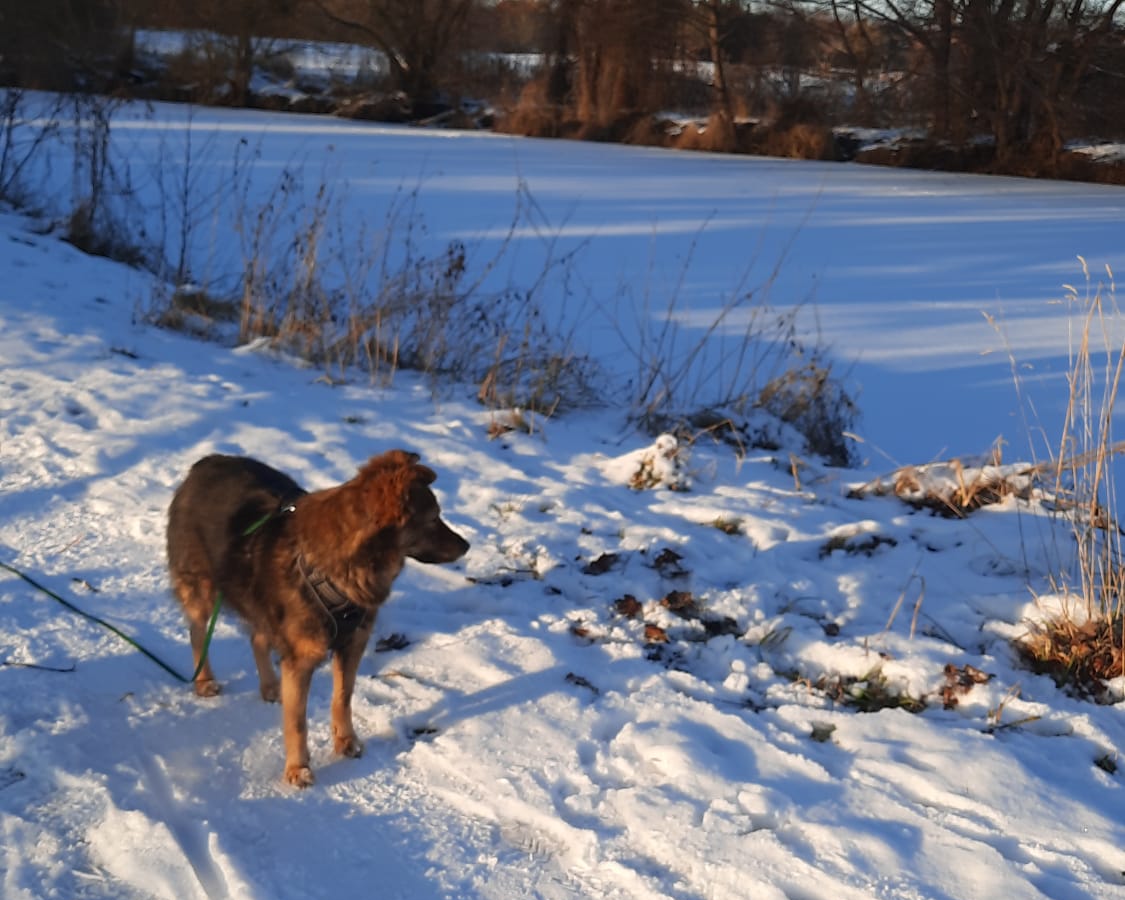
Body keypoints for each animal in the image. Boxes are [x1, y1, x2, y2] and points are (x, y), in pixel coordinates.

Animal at [166, 450, 469, 787]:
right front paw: (297, 768)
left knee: (257, 637)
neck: (341, 567)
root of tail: (206, 461)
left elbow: (343, 697)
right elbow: (297, 721)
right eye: (433, 518)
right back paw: (205, 681)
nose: (467, 545)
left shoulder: (352, 645)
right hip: (201, 588)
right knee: (197, 633)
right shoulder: (302, 660)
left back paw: (270, 686)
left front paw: (345, 741)